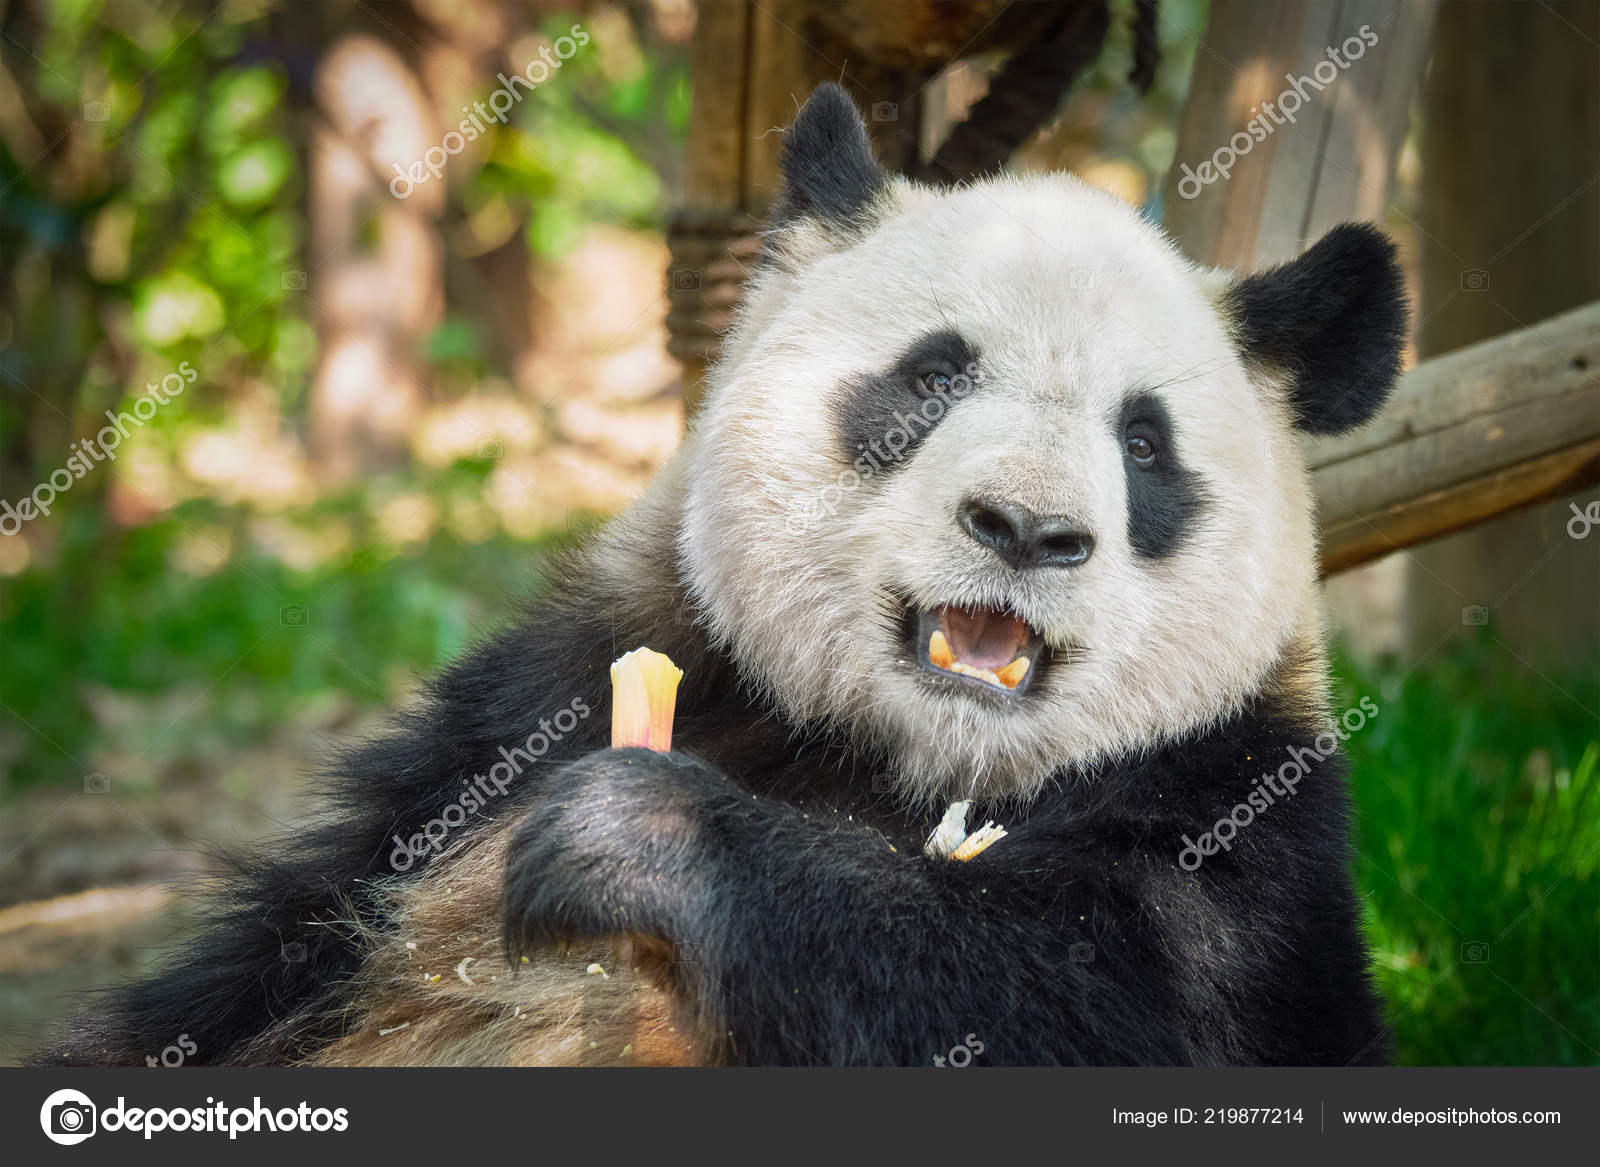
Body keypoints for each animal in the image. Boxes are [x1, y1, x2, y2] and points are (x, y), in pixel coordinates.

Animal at [38, 84, 1407, 1067]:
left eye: (1143, 444)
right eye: (933, 376)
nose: (1024, 529)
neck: (905, 763)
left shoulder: (1238, 817)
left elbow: (1104, 1005)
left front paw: (642, 838)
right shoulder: (543, 701)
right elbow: (259, 969)